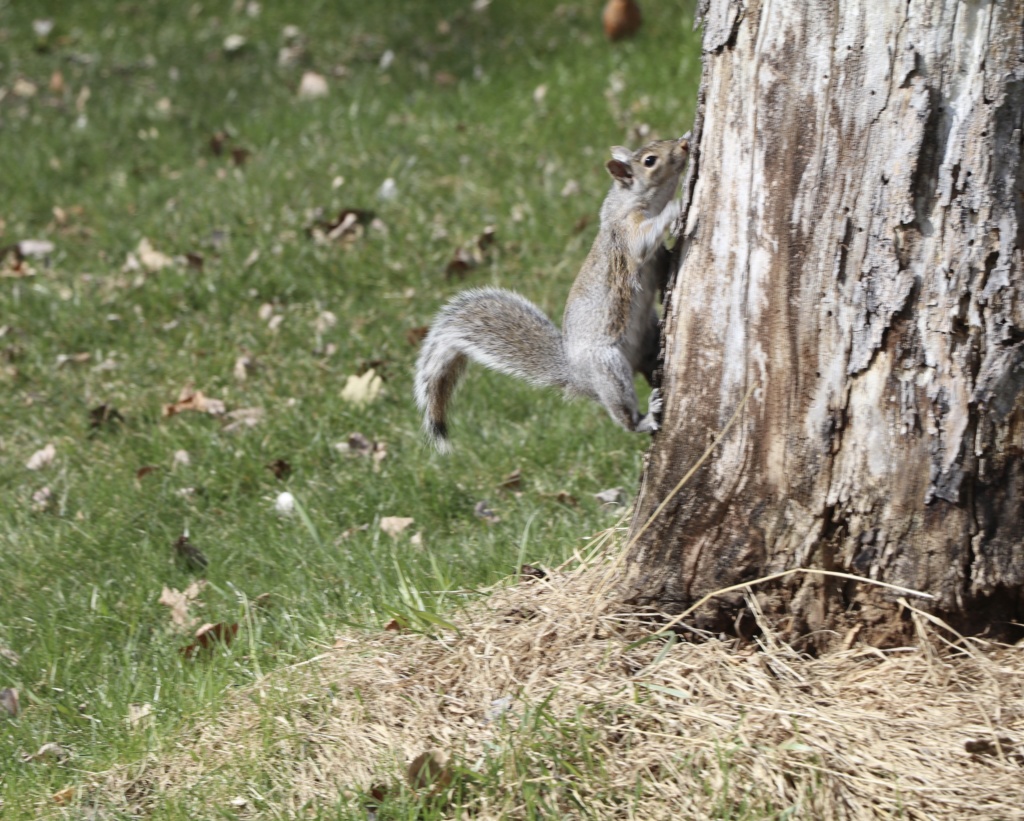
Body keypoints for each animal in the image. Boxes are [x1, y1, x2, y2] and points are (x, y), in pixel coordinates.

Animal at [413, 136, 688, 454]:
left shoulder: (653, 258)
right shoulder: (626, 234)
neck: (625, 201)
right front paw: (675, 208)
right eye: (650, 161)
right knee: (622, 413)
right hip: (607, 368)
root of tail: (576, 376)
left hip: (646, 336)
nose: (684, 146)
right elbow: (644, 240)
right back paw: (644, 418)